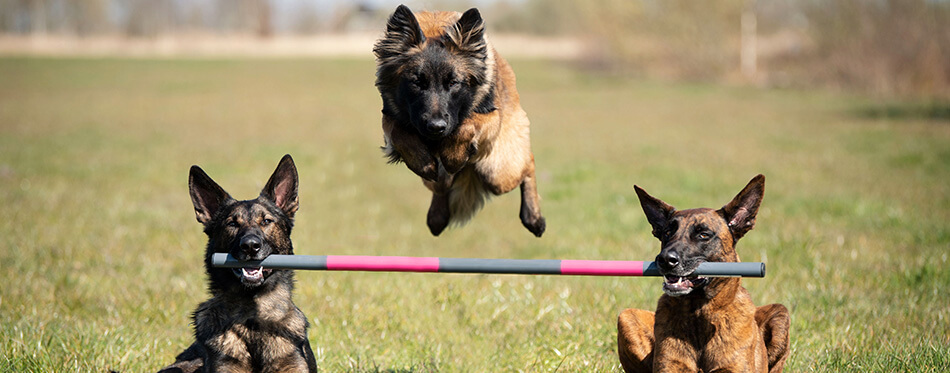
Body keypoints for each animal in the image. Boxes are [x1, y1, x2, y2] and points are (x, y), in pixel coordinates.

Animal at [616, 175, 788, 372]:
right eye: (667, 232)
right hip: (626, 318)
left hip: (781, 313)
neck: (698, 316)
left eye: (704, 235)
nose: (665, 259)